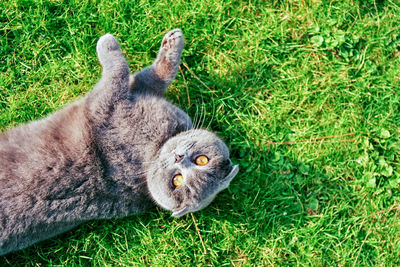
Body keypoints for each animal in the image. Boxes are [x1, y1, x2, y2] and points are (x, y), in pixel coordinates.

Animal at [0, 28, 238, 256]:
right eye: (202, 160)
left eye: (176, 180)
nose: (178, 158)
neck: (155, 149)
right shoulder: (141, 94)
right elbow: (155, 77)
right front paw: (173, 42)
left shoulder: (104, 108)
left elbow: (118, 73)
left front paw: (107, 42)